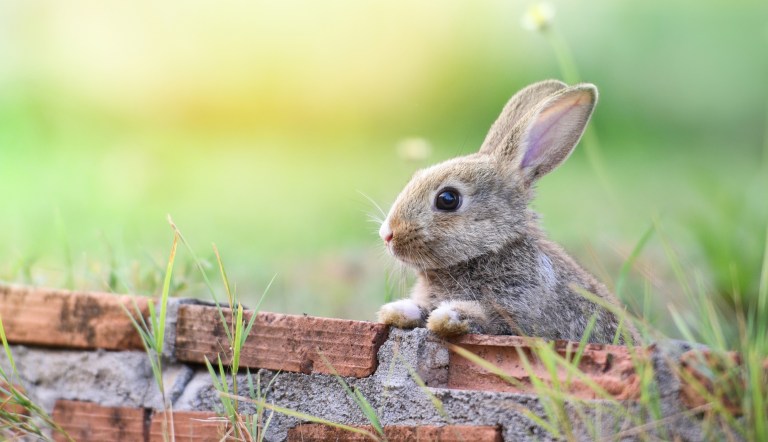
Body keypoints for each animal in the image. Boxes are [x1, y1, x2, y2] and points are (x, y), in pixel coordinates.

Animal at [376, 79, 629, 344]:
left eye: (448, 199)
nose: (387, 234)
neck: (491, 250)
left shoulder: (516, 312)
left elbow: (483, 317)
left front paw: (448, 316)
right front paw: (397, 310)